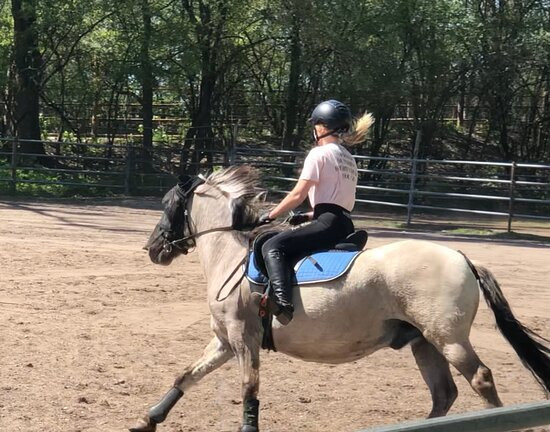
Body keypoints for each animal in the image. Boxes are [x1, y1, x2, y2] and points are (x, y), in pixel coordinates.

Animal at [130, 164, 550, 430]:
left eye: (168, 205)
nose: (153, 249)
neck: (230, 256)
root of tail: (463, 256)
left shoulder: (243, 339)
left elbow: (249, 390)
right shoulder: (224, 340)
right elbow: (186, 375)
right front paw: (147, 419)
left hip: (449, 339)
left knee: (480, 380)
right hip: (424, 343)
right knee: (443, 394)